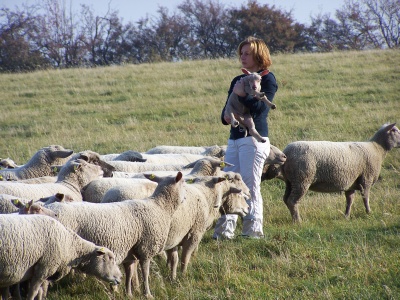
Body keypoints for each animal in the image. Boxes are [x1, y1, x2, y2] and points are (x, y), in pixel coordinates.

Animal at [44, 171, 186, 298]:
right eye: (183, 184)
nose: (185, 198)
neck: (161, 207)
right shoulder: (146, 248)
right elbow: (145, 272)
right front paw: (147, 294)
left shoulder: (130, 251)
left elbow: (129, 272)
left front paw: (129, 294)